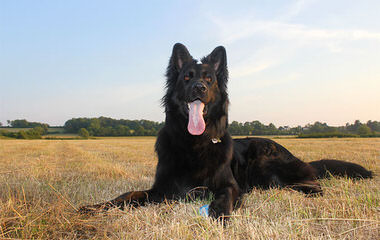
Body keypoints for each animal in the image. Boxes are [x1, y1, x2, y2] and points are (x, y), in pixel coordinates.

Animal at [79, 43, 372, 219]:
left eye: (209, 79)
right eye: (187, 77)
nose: (199, 88)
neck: (194, 144)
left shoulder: (229, 185)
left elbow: (225, 195)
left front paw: (219, 214)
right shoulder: (162, 188)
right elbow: (129, 195)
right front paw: (96, 206)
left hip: (266, 164)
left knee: (313, 184)